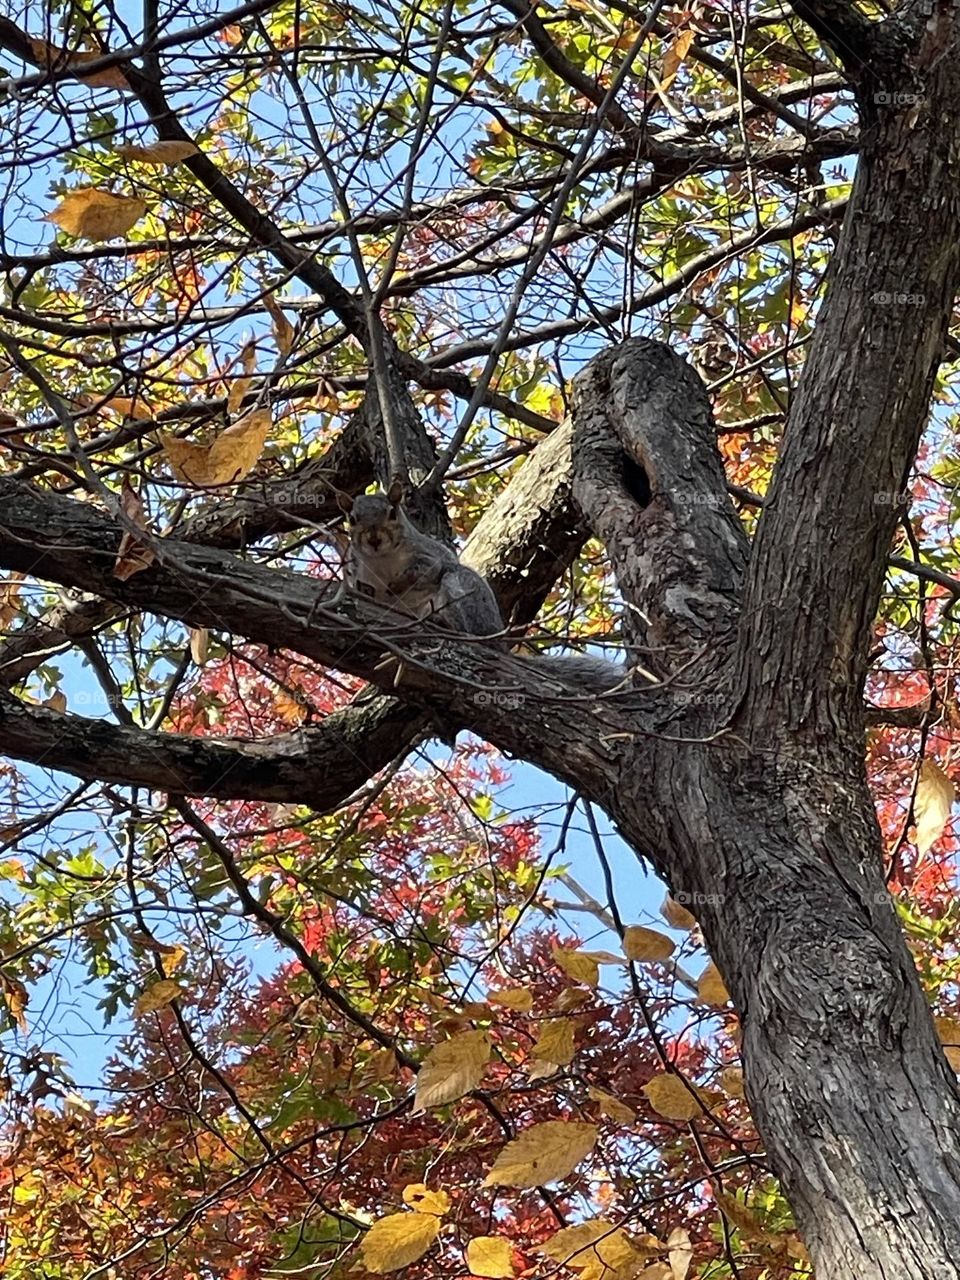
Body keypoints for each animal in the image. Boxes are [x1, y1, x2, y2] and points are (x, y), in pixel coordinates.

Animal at [338, 483, 625, 694]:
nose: (374, 539)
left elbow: (424, 572)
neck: (382, 560)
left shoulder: (430, 557)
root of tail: (496, 637)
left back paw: (447, 625)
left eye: (392, 513)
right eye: (352, 519)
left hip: (461, 590)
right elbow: (365, 590)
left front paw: (398, 584)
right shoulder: (359, 569)